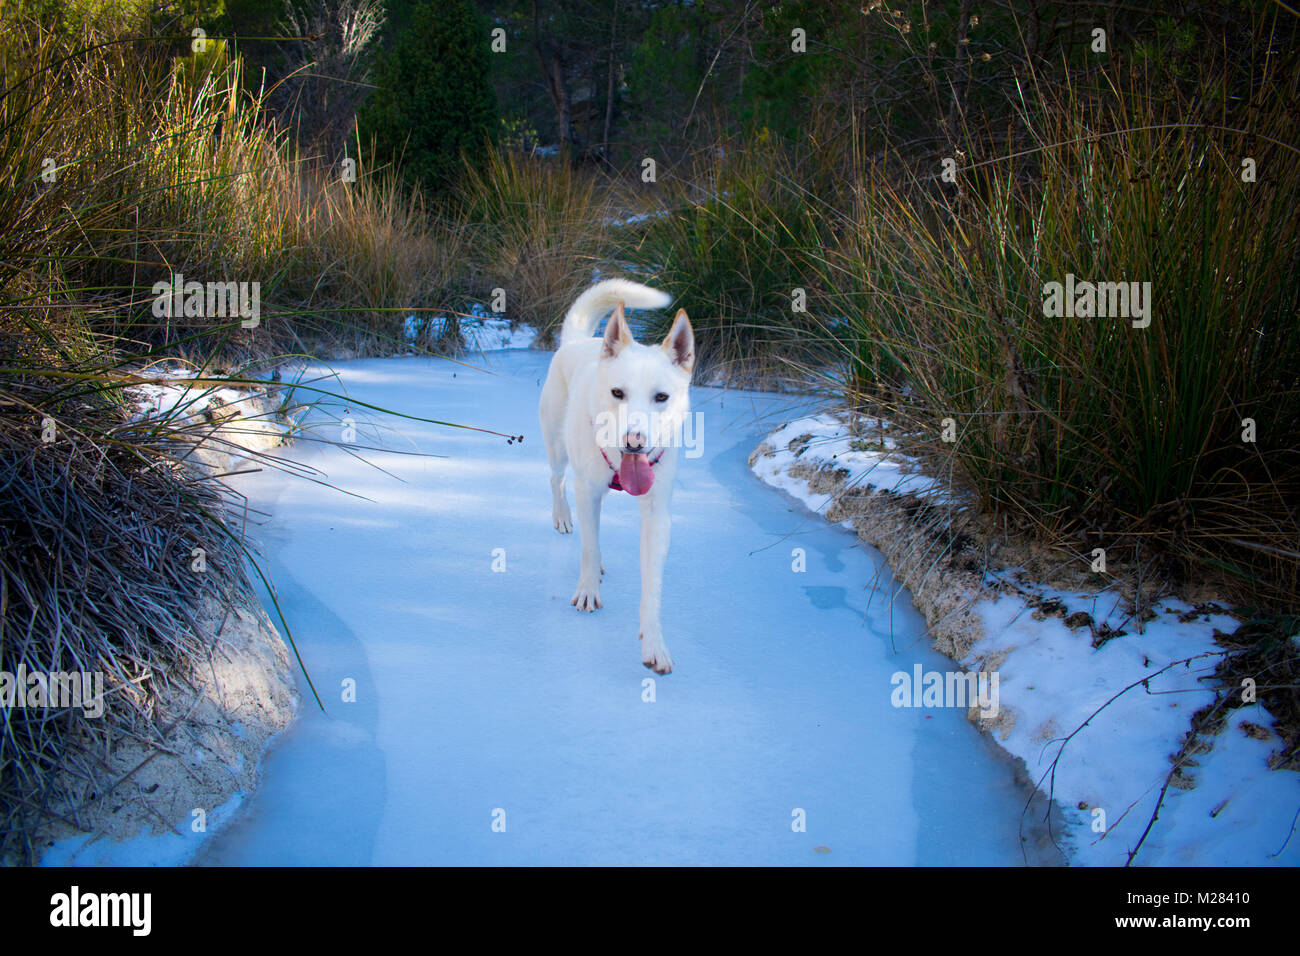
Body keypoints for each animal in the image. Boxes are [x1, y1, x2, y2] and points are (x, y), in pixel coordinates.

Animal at [538, 280, 696, 676]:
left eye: (661, 397)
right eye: (617, 393)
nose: (634, 442)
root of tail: (578, 341)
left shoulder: (657, 516)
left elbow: (652, 587)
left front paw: (654, 642)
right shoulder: (588, 491)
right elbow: (589, 548)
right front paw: (588, 590)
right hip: (558, 448)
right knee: (557, 480)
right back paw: (563, 517)